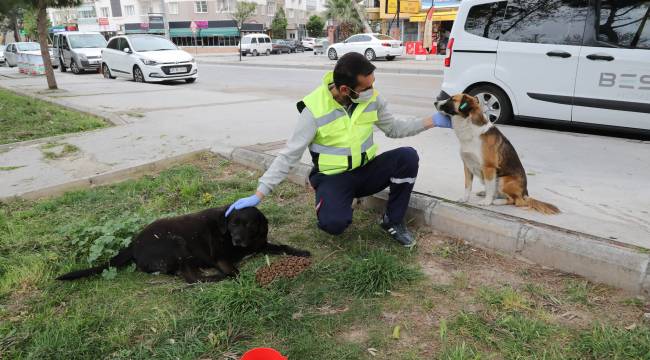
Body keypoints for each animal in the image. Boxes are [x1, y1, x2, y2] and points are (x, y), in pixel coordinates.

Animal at [56, 207, 308, 282]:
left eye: (249, 224)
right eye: (233, 224)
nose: (237, 239)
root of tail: (133, 243)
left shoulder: (260, 245)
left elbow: (283, 247)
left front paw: (301, 251)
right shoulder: (220, 258)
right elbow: (235, 272)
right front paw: (230, 274)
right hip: (177, 244)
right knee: (190, 278)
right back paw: (214, 277)